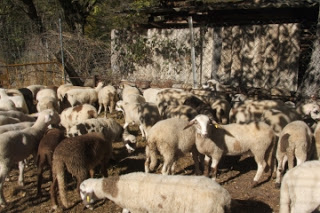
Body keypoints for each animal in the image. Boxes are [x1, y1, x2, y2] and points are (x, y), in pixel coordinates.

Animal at [79, 172, 231, 212]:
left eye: (81, 191)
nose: (85, 206)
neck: (115, 187)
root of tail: (224, 197)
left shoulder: (137, 209)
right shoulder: (128, 206)